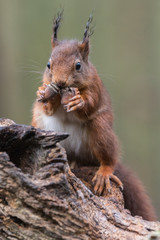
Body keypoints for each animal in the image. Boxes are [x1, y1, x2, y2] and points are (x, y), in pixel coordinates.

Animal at [31, 11, 156, 221]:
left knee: (108, 158)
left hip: (100, 130)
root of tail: (81, 158)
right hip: (42, 126)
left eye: (78, 66)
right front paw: (43, 93)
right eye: (48, 65)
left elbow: (90, 104)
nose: (60, 82)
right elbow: (47, 107)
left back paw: (104, 172)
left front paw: (78, 102)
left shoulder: (95, 87)